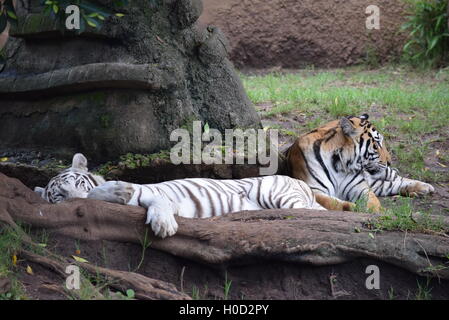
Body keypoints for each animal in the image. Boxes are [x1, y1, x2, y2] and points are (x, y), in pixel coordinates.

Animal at [35, 152, 322, 238]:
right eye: (58, 195)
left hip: (272, 191)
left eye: (77, 182)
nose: (73, 199)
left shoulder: (155, 192)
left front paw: (163, 225)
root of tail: (300, 182)